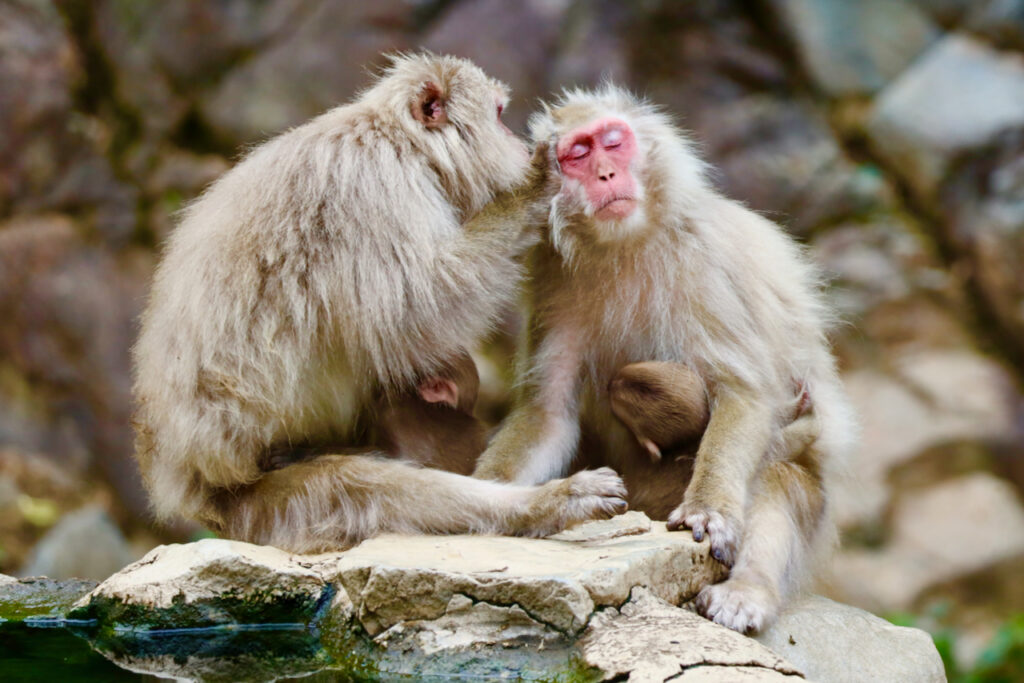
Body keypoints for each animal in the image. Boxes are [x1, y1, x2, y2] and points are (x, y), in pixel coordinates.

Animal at [131, 54, 628, 555]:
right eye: (501, 115)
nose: (517, 143)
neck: (405, 144)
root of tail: (186, 484)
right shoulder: (372, 187)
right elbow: (420, 302)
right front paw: (533, 188)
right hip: (262, 505)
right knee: (360, 487)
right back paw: (544, 505)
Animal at [473, 86, 856, 633]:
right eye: (578, 154)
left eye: (613, 142)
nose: (606, 175)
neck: (626, 242)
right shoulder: (551, 275)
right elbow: (547, 414)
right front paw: (499, 500)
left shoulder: (702, 258)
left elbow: (743, 393)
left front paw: (708, 512)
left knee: (779, 471)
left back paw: (746, 590)